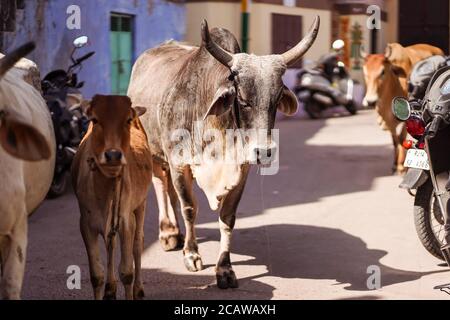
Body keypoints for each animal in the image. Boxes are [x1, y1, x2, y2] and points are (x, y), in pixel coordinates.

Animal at [72, 95, 152, 300]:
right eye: (94, 119)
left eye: (127, 120)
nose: (113, 155)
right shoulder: (86, 224)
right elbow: (96, 276)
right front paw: (107, 286)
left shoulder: (126, 221)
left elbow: (127, 272)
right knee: (111, 244)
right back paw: (110, 288)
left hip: (141, 204)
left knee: (138, 243)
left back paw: (138, 289)